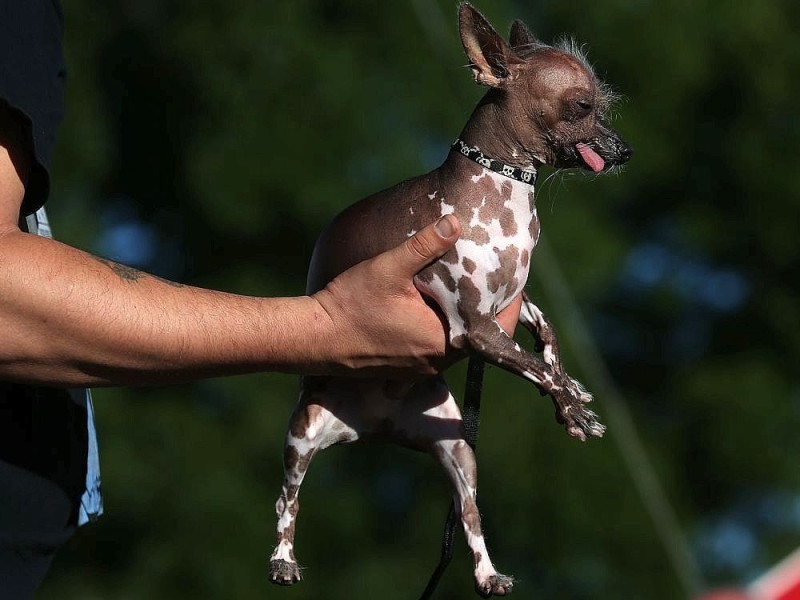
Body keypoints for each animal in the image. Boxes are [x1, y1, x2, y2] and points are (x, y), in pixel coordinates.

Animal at [268, 3, 632, 596]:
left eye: (602, 107)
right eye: (582, 106)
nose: (625, 150)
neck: (504, 189)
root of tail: (374, 427)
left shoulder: (512, 305)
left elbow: (546, 339)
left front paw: (570, 398)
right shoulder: (476, 329)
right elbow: (535, 363)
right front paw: (573, 402)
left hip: (459, 449)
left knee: (468, 515)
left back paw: (488, 574)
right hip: (303, 434)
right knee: (288, 498)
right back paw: (282, 559)